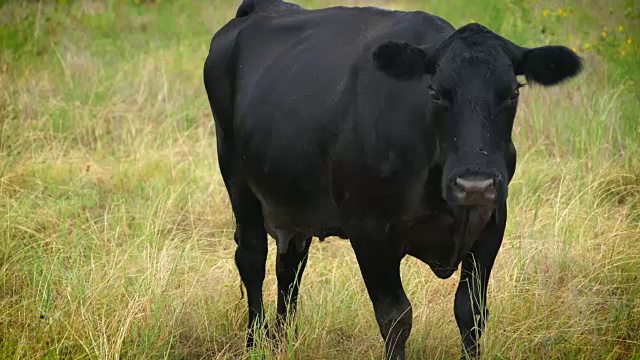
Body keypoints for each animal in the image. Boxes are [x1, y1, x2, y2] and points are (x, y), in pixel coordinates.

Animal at [202, 0, 584, 358]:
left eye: (513, 93)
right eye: (436, 92)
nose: (474, 184)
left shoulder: (491, 223)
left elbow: (471, 312)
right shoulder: (369, 231)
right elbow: (396, 317)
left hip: (293, 199)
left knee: (290, 265)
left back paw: (284, 342)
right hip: (236, 177)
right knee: (252, 258)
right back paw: (255, 344)